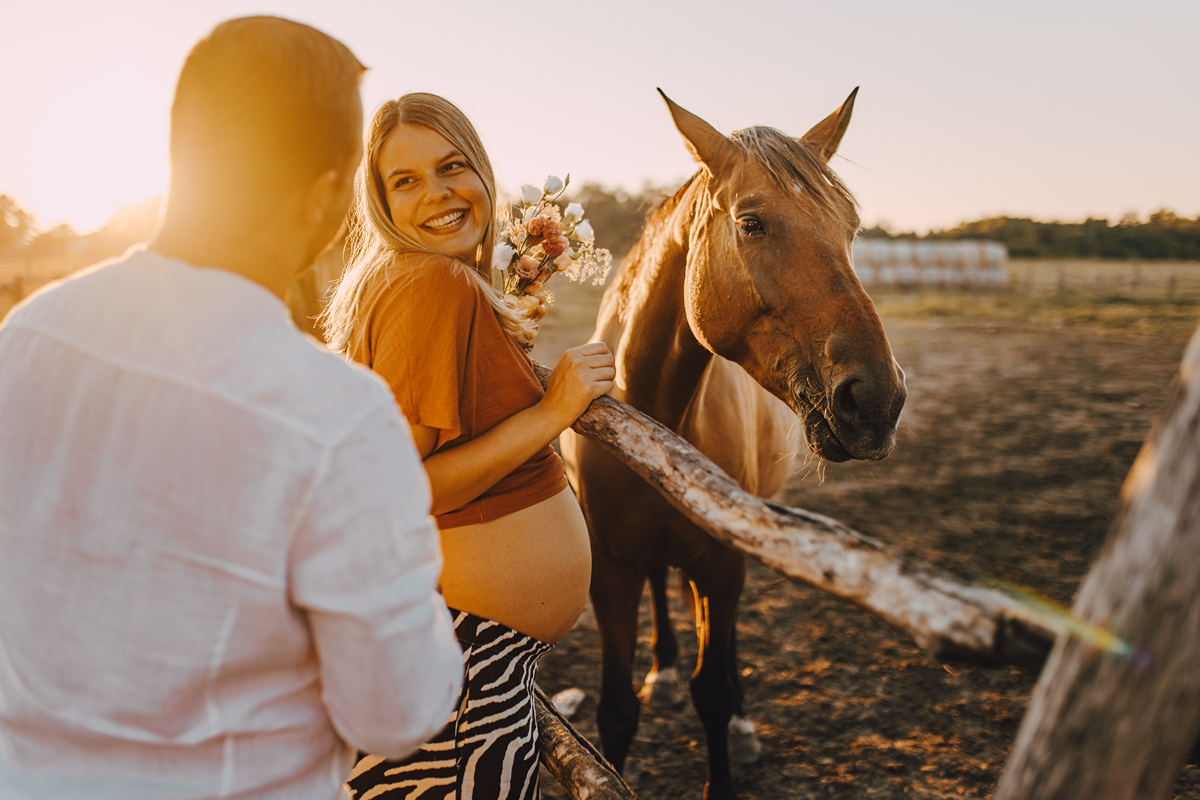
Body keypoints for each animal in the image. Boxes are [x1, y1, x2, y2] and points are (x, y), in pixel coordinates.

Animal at [560, 89, 907, 800]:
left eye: (851, 228)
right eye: (752, 224)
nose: (878, 402)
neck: (651, 415)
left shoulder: (721, 563)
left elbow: (713, 691)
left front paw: (729, 733)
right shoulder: (611, 570)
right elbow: (616, 712)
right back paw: (663, 669)